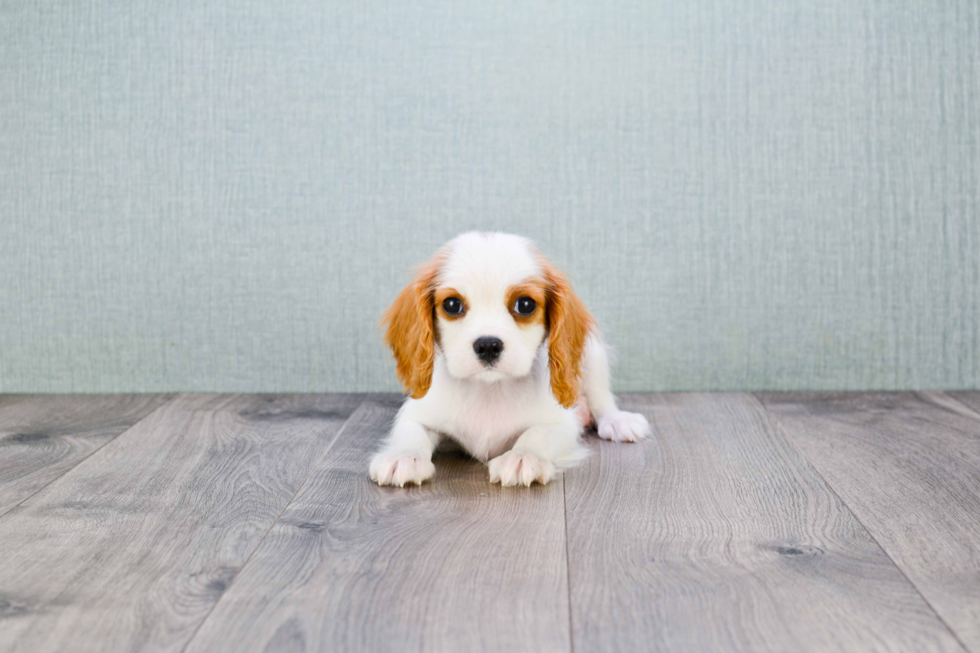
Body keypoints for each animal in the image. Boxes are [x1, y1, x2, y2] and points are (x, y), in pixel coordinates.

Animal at [370, 232, 652, 486]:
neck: (489, 390)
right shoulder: (417, 412)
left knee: (601, 398)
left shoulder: (562, 422)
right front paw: (404, 457)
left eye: (525, 304)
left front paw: (523, 457)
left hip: (594, 356)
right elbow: (410, 431)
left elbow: (538, 433)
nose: (488, 345)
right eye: (452, 304)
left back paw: (617, 421)